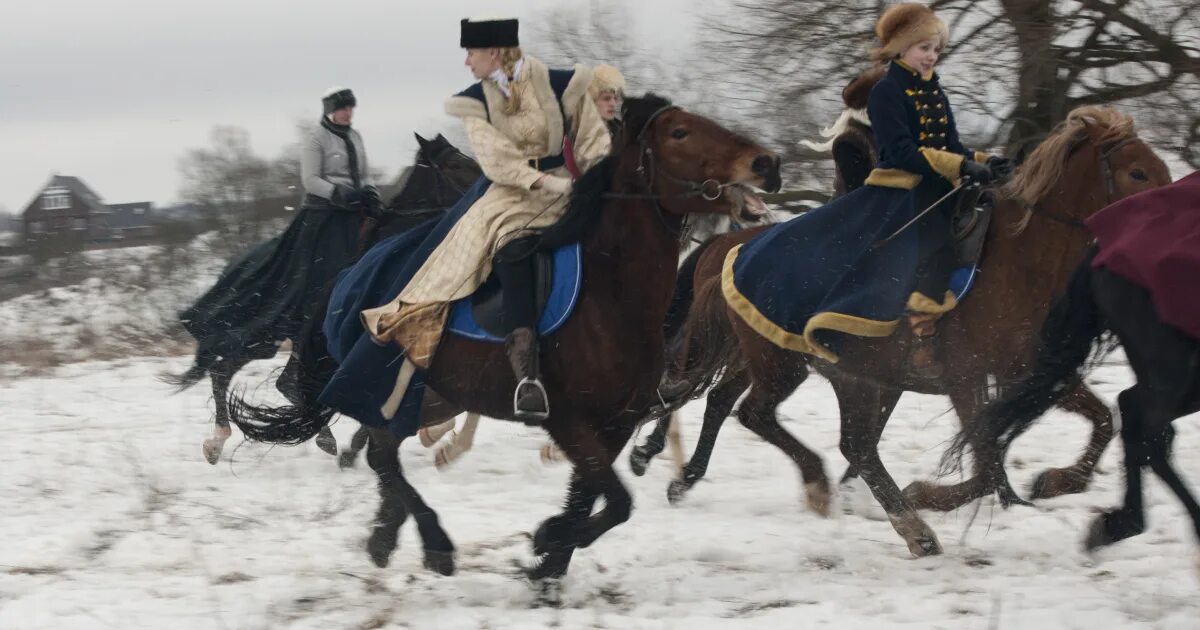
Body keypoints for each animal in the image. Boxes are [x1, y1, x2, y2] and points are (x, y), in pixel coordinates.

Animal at [163, 132, 482, 463]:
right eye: (455, 164)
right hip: (268, 333)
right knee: (239, 372)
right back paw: (223, 441)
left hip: (272, 338)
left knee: (237, 371)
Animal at [226, 93, 787, 580]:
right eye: (679, 132)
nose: (766, 164)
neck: (612, 295)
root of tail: (346, 279)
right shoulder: (568, 419)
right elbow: (615, 500)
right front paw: (547, 544)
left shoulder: (616, 422)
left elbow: (593, 498)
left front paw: (548, 561)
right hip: (392, 386)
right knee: (382, 457)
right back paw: (434, 544)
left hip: (427, 395)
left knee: (383, 455)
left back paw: (386, 537)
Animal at [662, 105, 1166, 556]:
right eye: (1137, 173)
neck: (1020, 265)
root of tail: (734, 254)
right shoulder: (965, 379)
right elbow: (987, 462)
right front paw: (929, 494)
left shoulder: (1033, 374)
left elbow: (1103, 421)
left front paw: (1056, 481)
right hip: (783, 364)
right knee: (756, 415)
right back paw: (851, 497)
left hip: (848, 376)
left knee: (849, 444)